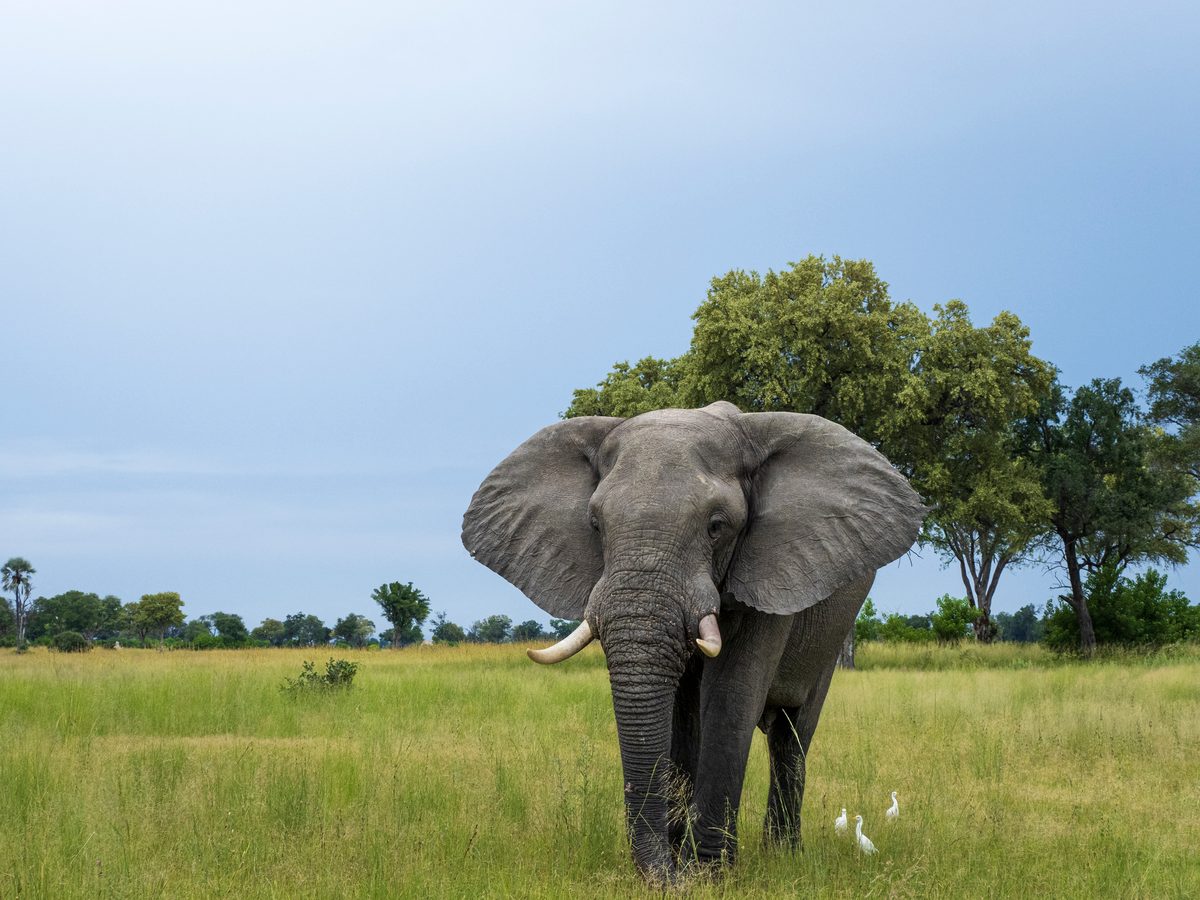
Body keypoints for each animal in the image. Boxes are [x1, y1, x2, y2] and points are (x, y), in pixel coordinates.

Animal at [461, 401, 924, 882]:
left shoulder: (769, 569)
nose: (664, 877)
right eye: (595, 524)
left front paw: (708, 874)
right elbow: (681, 715)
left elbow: (729, 696)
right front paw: (683, 865)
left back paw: (783, 853)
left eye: (716, 526)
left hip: (832, 632)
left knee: (792, 732)